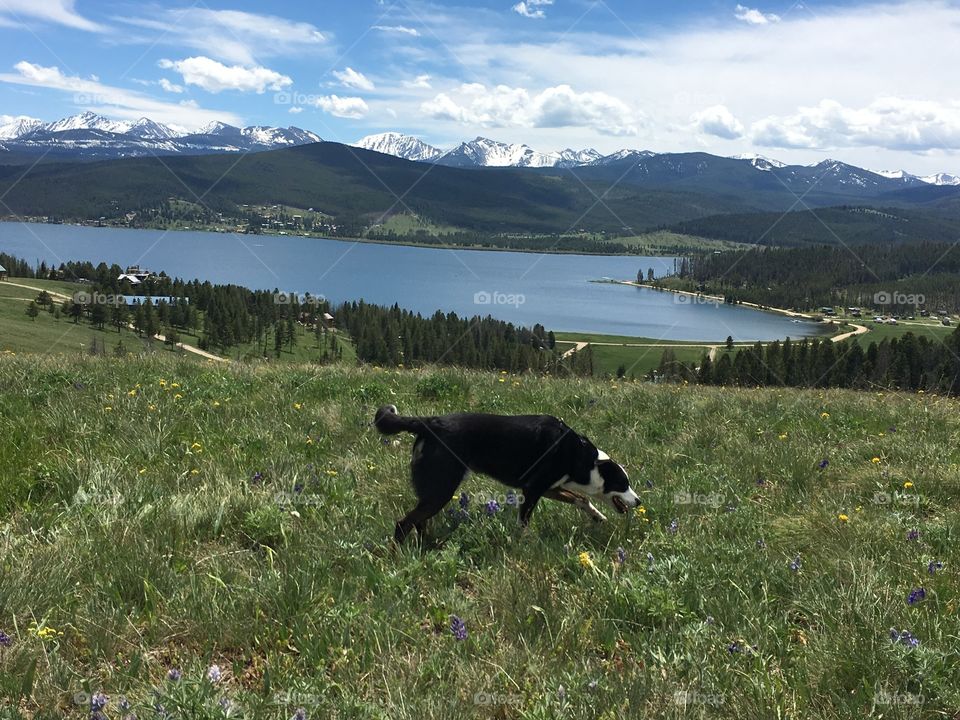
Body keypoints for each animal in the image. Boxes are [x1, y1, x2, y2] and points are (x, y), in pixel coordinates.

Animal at [374, 408, 636, 544]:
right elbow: (524, 523)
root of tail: (428, 422)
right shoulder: (532, 489)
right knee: (403, 523)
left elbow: (581, 498)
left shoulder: (548, 487)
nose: (639, 500)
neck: (579, 455)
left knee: (419, 521)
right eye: (623, 484)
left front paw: (597, 516)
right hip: (442, 489)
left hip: (433, 490)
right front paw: (524, 544)